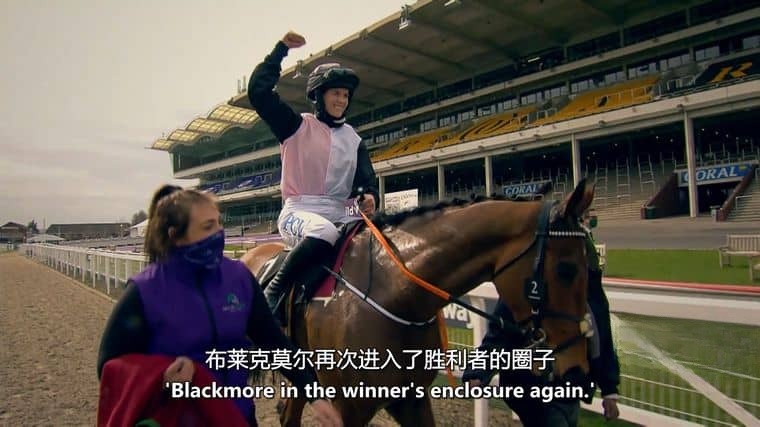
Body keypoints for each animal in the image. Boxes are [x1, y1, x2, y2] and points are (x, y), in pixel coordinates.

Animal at [240, 178, 596, 426]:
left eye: (592, 265)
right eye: (566, 270)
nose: (577, 371)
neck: (395, 293)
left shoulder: (412, 400)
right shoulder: (348, 407)